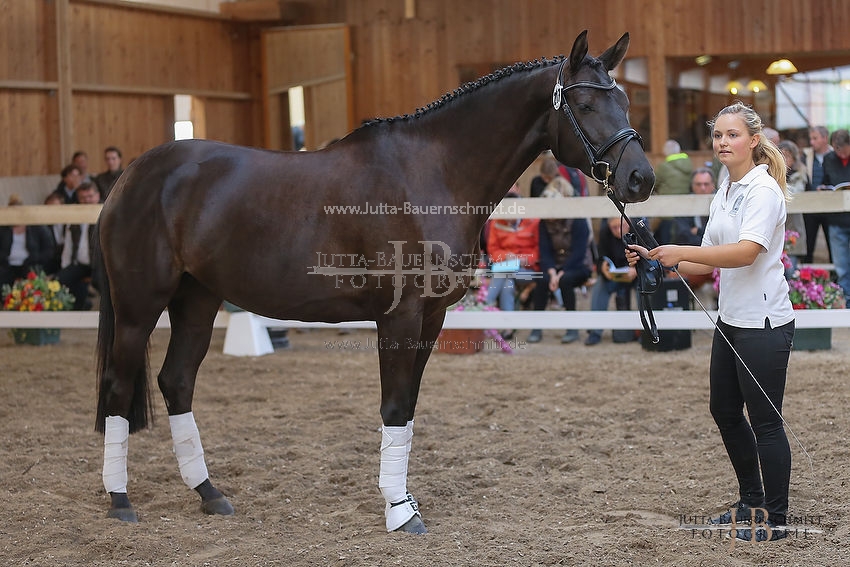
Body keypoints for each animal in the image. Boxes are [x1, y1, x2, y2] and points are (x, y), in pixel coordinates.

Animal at [91, 31, 648, 536]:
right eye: (585, 103)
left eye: (623, 100)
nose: (641, 178)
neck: (433, 173)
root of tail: (132, 175)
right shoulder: (399, 316)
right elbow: (394, 405)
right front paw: (400, 511)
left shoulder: (432, 317)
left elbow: (410, 407)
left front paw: (404, 498)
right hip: (139, 306)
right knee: (119, 385)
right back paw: (120, 500)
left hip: (198, 299)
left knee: (176, 381)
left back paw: (209, 493)